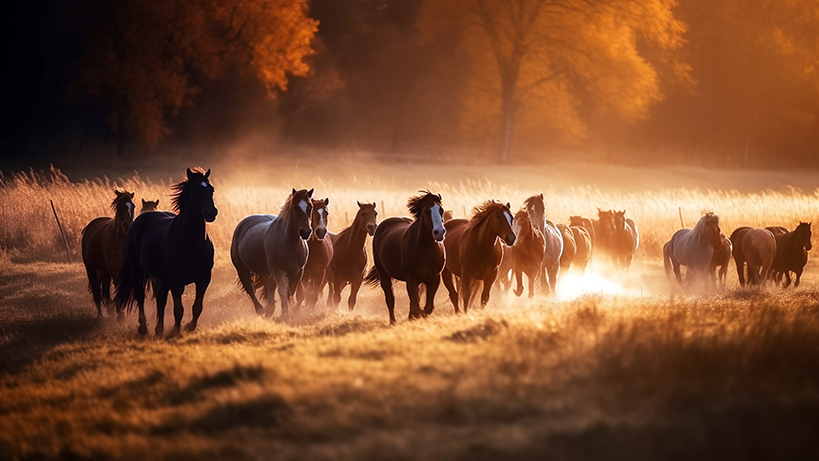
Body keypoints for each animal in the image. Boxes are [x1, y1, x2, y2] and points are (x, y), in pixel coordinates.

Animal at [116, 167, 218, 336]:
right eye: (194, 189)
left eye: (211, 189)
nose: (211, 212)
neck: (191, 242)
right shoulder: (175, 280)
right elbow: (179, 309)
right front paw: (176, 330)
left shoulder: (203, 278)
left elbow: (197, 307)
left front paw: (189, 326)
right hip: (137, 271)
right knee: (140, 297)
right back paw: (143, 328)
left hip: (162, 278)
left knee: (160, 299)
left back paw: (159, 328)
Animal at [234, 187, 318, 320]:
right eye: (295, 207)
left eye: (310, 206)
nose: (305, 232)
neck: (289, 243)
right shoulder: (278, 271)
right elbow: (283, 291)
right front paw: (284, 314)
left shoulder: (298, 272)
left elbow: (292, 292)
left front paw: (290, 311)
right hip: (242, 268)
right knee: (249, 288)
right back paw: (261, 310)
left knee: (269, 287)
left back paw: (270, 309)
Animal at [362, 190, 446, 324]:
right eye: (426, 211)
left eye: (441, 210)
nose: (439, 232)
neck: (426, 250)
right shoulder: (411, 278)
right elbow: (416, 305)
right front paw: (415, 316)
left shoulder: (434, 278)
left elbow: (427, 307)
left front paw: (418, 315)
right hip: (384, 275)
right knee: (390, 298)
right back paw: (393, 322)